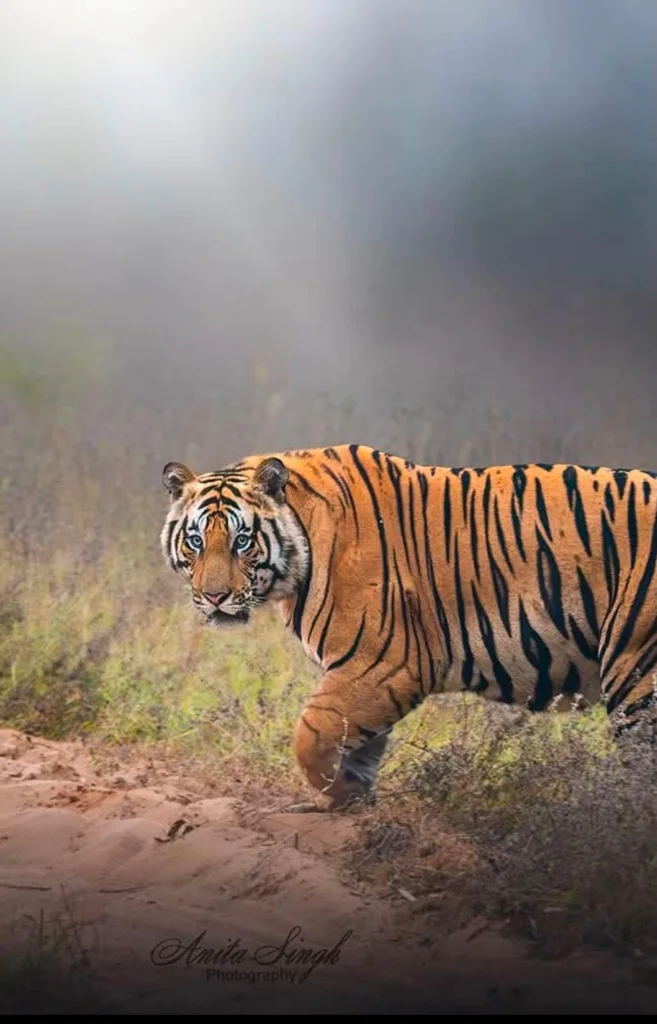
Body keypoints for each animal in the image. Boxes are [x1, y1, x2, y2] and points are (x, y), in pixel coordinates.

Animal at [160, 444, 657, 811]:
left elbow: (311, 736)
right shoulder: (367, 677)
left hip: (636, 675)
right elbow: (356, 748)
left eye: (243, 541)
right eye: (196, 540)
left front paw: (334, 796)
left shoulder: (383, 665)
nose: (215, 596)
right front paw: (353, 802)